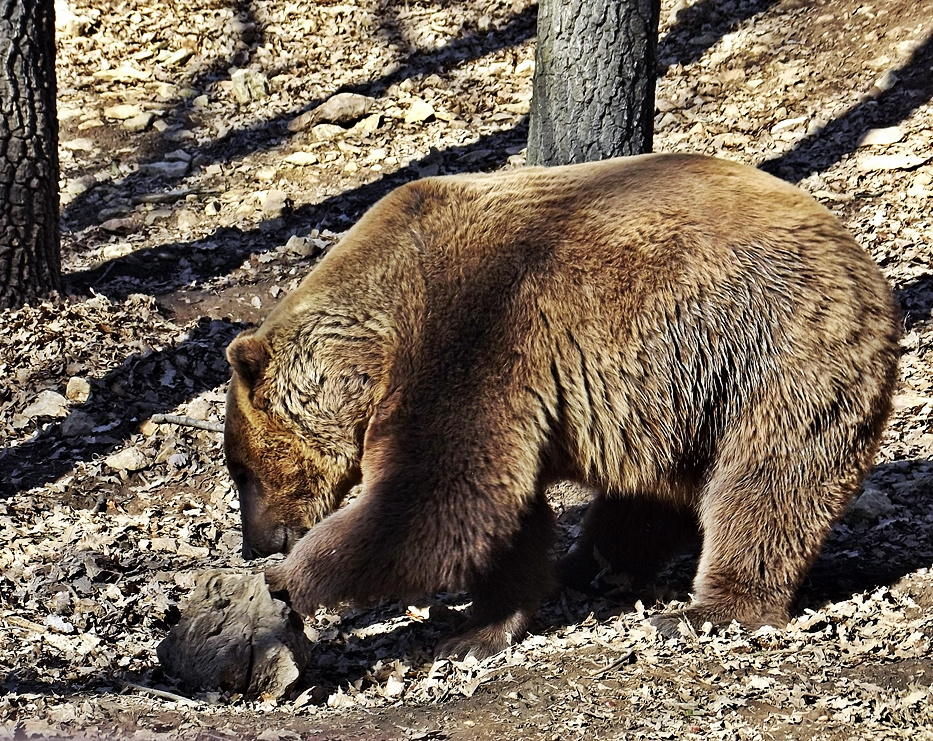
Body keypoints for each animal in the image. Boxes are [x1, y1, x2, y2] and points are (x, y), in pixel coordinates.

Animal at [222, 153, 900, 656]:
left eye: (241, 470)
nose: (255, 543)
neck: (375, 339)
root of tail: (864, 260)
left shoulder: (475, 327)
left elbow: (437, 499)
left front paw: (292, 580)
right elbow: (501, 513)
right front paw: (483, 625)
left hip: (773, 348)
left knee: (772, 482)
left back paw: (709, 607)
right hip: (684, 395)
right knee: (657, 494)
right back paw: (593, 563)